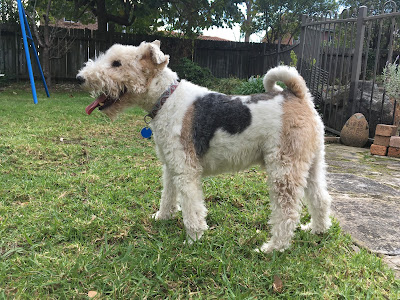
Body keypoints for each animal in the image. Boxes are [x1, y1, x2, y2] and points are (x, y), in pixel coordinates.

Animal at [77, 39, 332, 251]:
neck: (166, 98)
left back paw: (272, 248)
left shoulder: (185, 169)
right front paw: (162, 217)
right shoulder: (171, 165)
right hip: (311, 163)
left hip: (283, 170)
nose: (80, 78)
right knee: (320, 199)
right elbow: (168, 196)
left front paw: (193, 239)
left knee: (287, 214)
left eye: (117, 63)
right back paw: (316, 230)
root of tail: (298, 95)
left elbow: (192, 208)